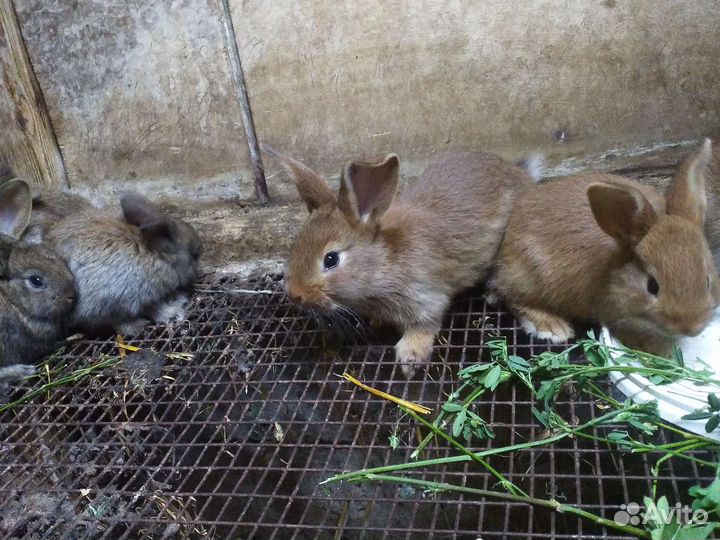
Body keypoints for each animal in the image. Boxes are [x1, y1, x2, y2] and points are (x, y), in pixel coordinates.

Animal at [24, 190, 202, 335]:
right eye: (194, 256)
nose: (196, 274)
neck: (151, 254)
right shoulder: (130, 297)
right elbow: (151, 310)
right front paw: (172, 311)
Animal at [262, 144, 534, 378]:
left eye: (331, 259)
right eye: (296, 245)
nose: (294, 294)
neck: (382, 263)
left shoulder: (426, 299)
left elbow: (423, 326)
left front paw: (410, 360)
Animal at [491, 138, 719, 356]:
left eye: (707, 280)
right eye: (652, 286)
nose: (692, 328)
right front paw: (657, 348)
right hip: (528, 276)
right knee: (513, 297)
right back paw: (552, 326)